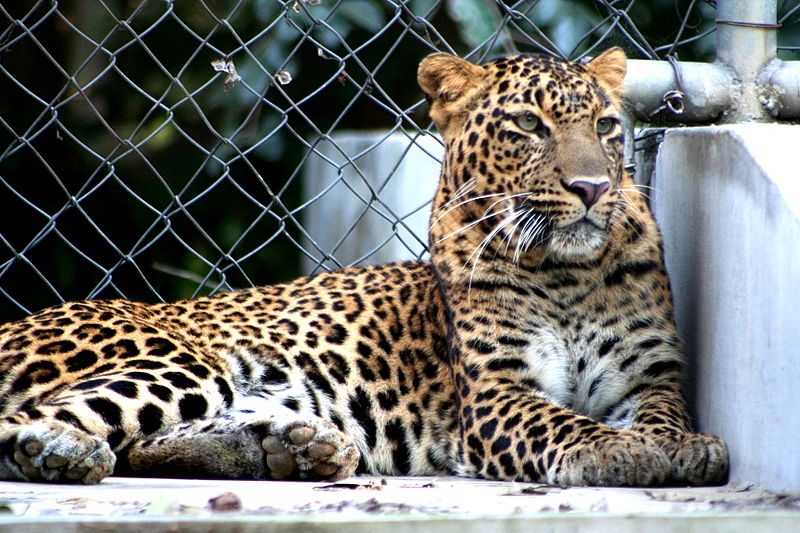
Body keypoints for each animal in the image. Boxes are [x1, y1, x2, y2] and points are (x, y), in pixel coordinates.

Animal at [0, 48, 728, 486]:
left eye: (606, 126)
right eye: (528, 125)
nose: (593, 188)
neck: (566, 275)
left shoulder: (651, 375)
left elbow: (665, 414)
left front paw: (682, 448)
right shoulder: (495, 393)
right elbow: (564, 422)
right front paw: (620, 450)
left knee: (139, 442)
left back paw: (288, 445)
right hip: (177, 360)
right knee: (47, 421)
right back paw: (58, 453)